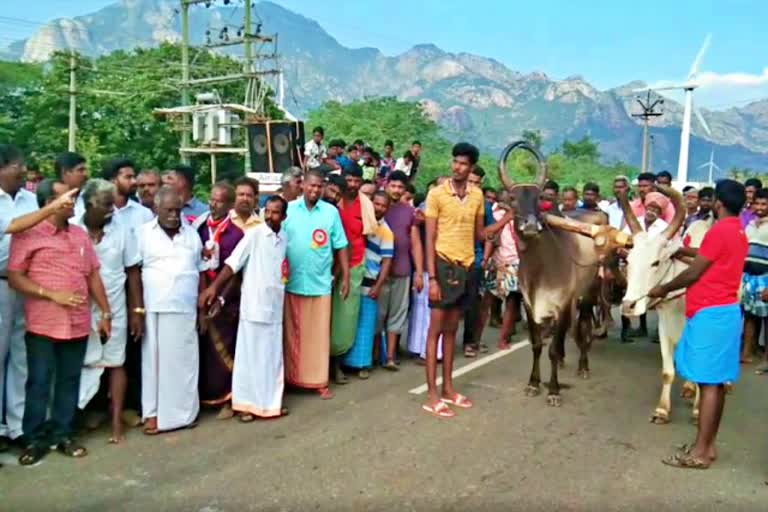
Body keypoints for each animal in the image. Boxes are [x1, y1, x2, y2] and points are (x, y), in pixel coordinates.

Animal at [498, 142, 632, 406]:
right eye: (513, 199)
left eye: (538, 199)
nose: (531, 225)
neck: (539, 267)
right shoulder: (530, 305)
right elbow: (537, 344)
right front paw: (533, 383)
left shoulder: (561, 304)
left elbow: (551, 348)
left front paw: (553, 390)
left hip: (590, 291)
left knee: (584, 326)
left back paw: (583, 365)